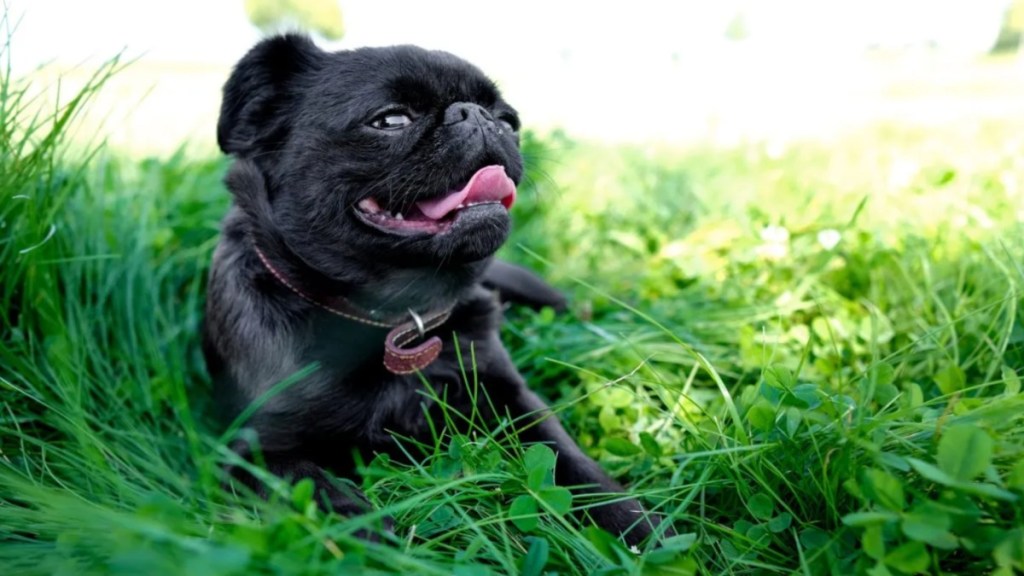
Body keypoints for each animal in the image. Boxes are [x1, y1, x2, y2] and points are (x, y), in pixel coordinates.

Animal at [203, 33, 667, 545]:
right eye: (390, 120)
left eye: (509, 121)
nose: (477, 115)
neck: (394, 318)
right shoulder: (249, 447)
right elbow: (313, 489)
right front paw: (370, 532)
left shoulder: (511, 399)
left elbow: (569, 459)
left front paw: (635, 525)